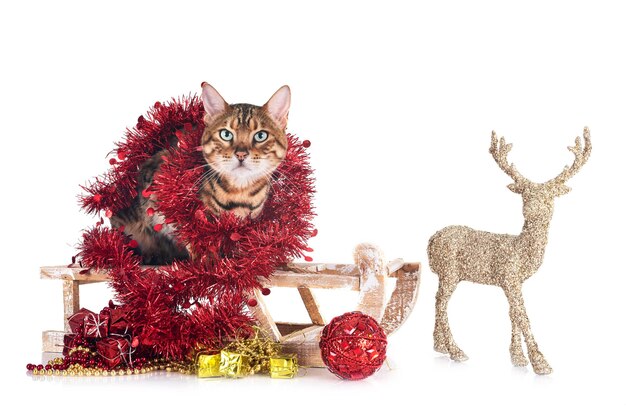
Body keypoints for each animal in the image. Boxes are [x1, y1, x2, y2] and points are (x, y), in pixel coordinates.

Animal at [109, 84, 290, 266]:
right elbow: (189, 231)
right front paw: (206, 261)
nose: (241, 154)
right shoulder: (161, 188)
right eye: (226, 134)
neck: (240, 194)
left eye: (261, 136)